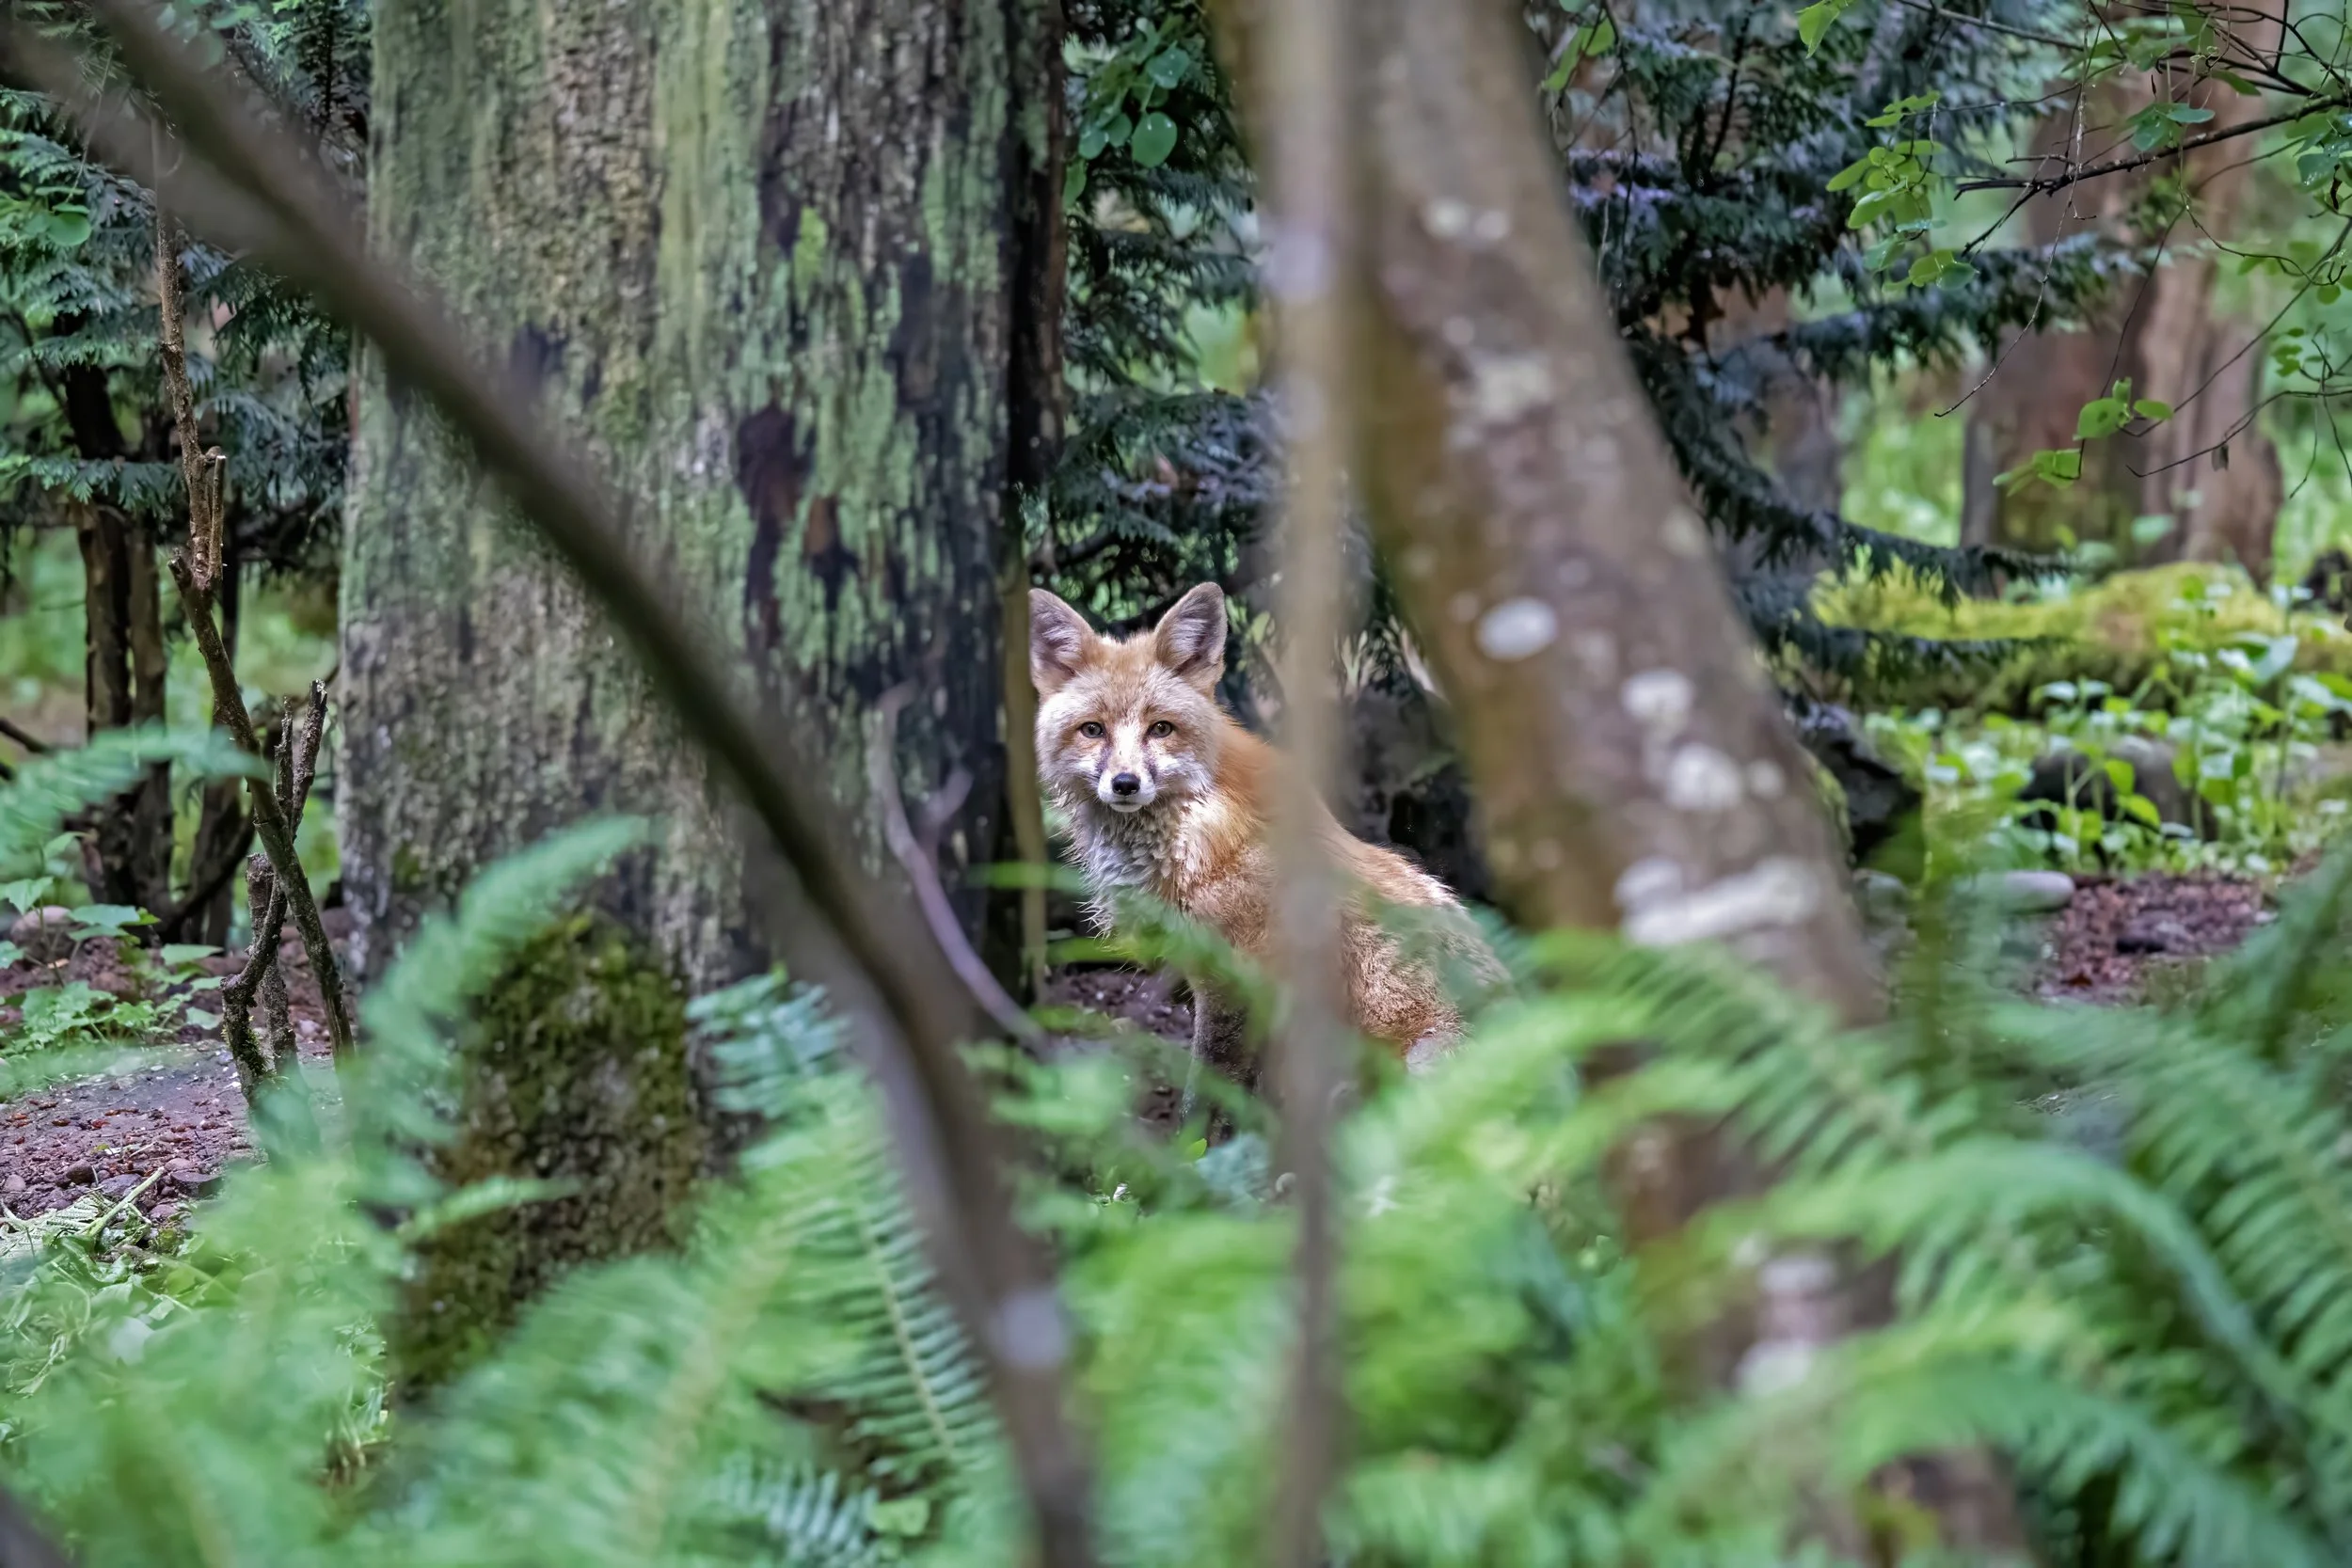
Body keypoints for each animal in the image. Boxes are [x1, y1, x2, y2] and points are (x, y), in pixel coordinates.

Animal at [1029, 580, 1499, 1089]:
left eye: (1161, 729)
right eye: (1093, 730)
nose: (1125, 784)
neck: (1192, 831)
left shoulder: (1238, 982)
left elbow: (1209, 1094)